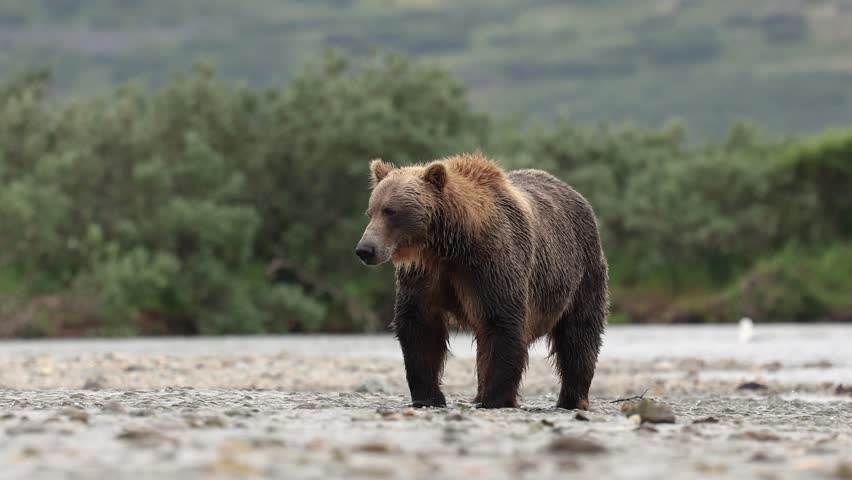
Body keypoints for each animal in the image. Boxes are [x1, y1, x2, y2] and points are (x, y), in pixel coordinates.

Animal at [355, 153, 608, 410]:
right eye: (370, 211)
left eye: (390, 211)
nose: (365, 249)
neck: (451, 245)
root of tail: (576, 194)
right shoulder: (426, 274)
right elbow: (420, 324)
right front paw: (428, 396)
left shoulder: (492, 264)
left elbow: (501, 322)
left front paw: (495, 397)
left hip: (582, 271)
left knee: (579, 333)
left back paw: (572, 398)